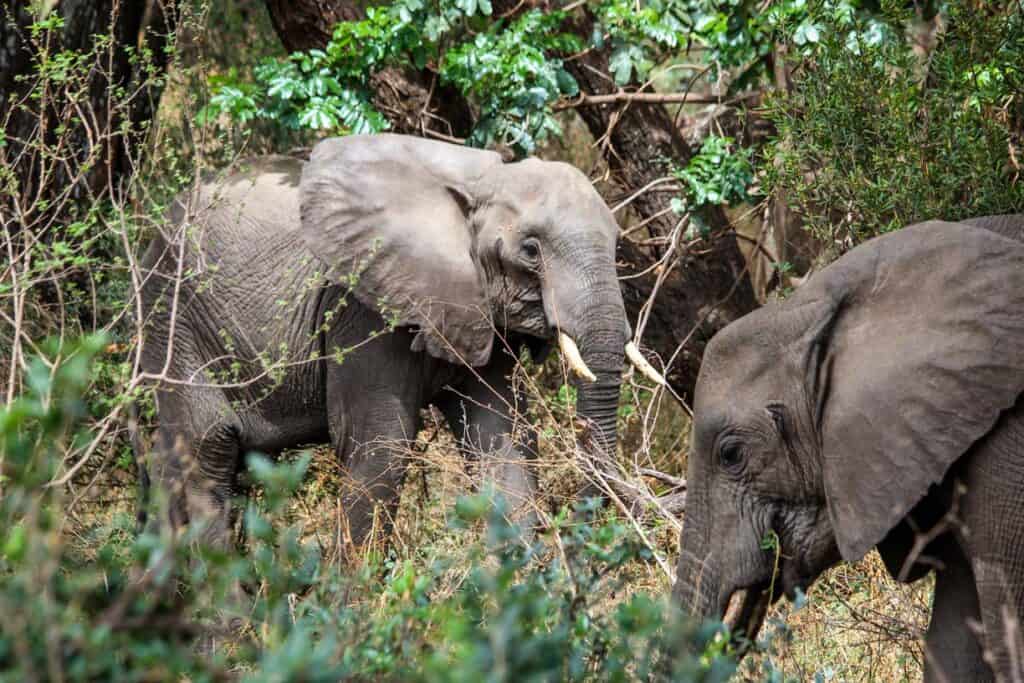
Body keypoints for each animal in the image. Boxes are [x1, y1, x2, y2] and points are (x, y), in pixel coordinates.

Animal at [140, 133, 659, 557]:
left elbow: (502, 442)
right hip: (172, 316)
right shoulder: (362, 305)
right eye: (530, 251)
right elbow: (381, 448)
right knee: (206, 456)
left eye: (617, 245)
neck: (479, 182)